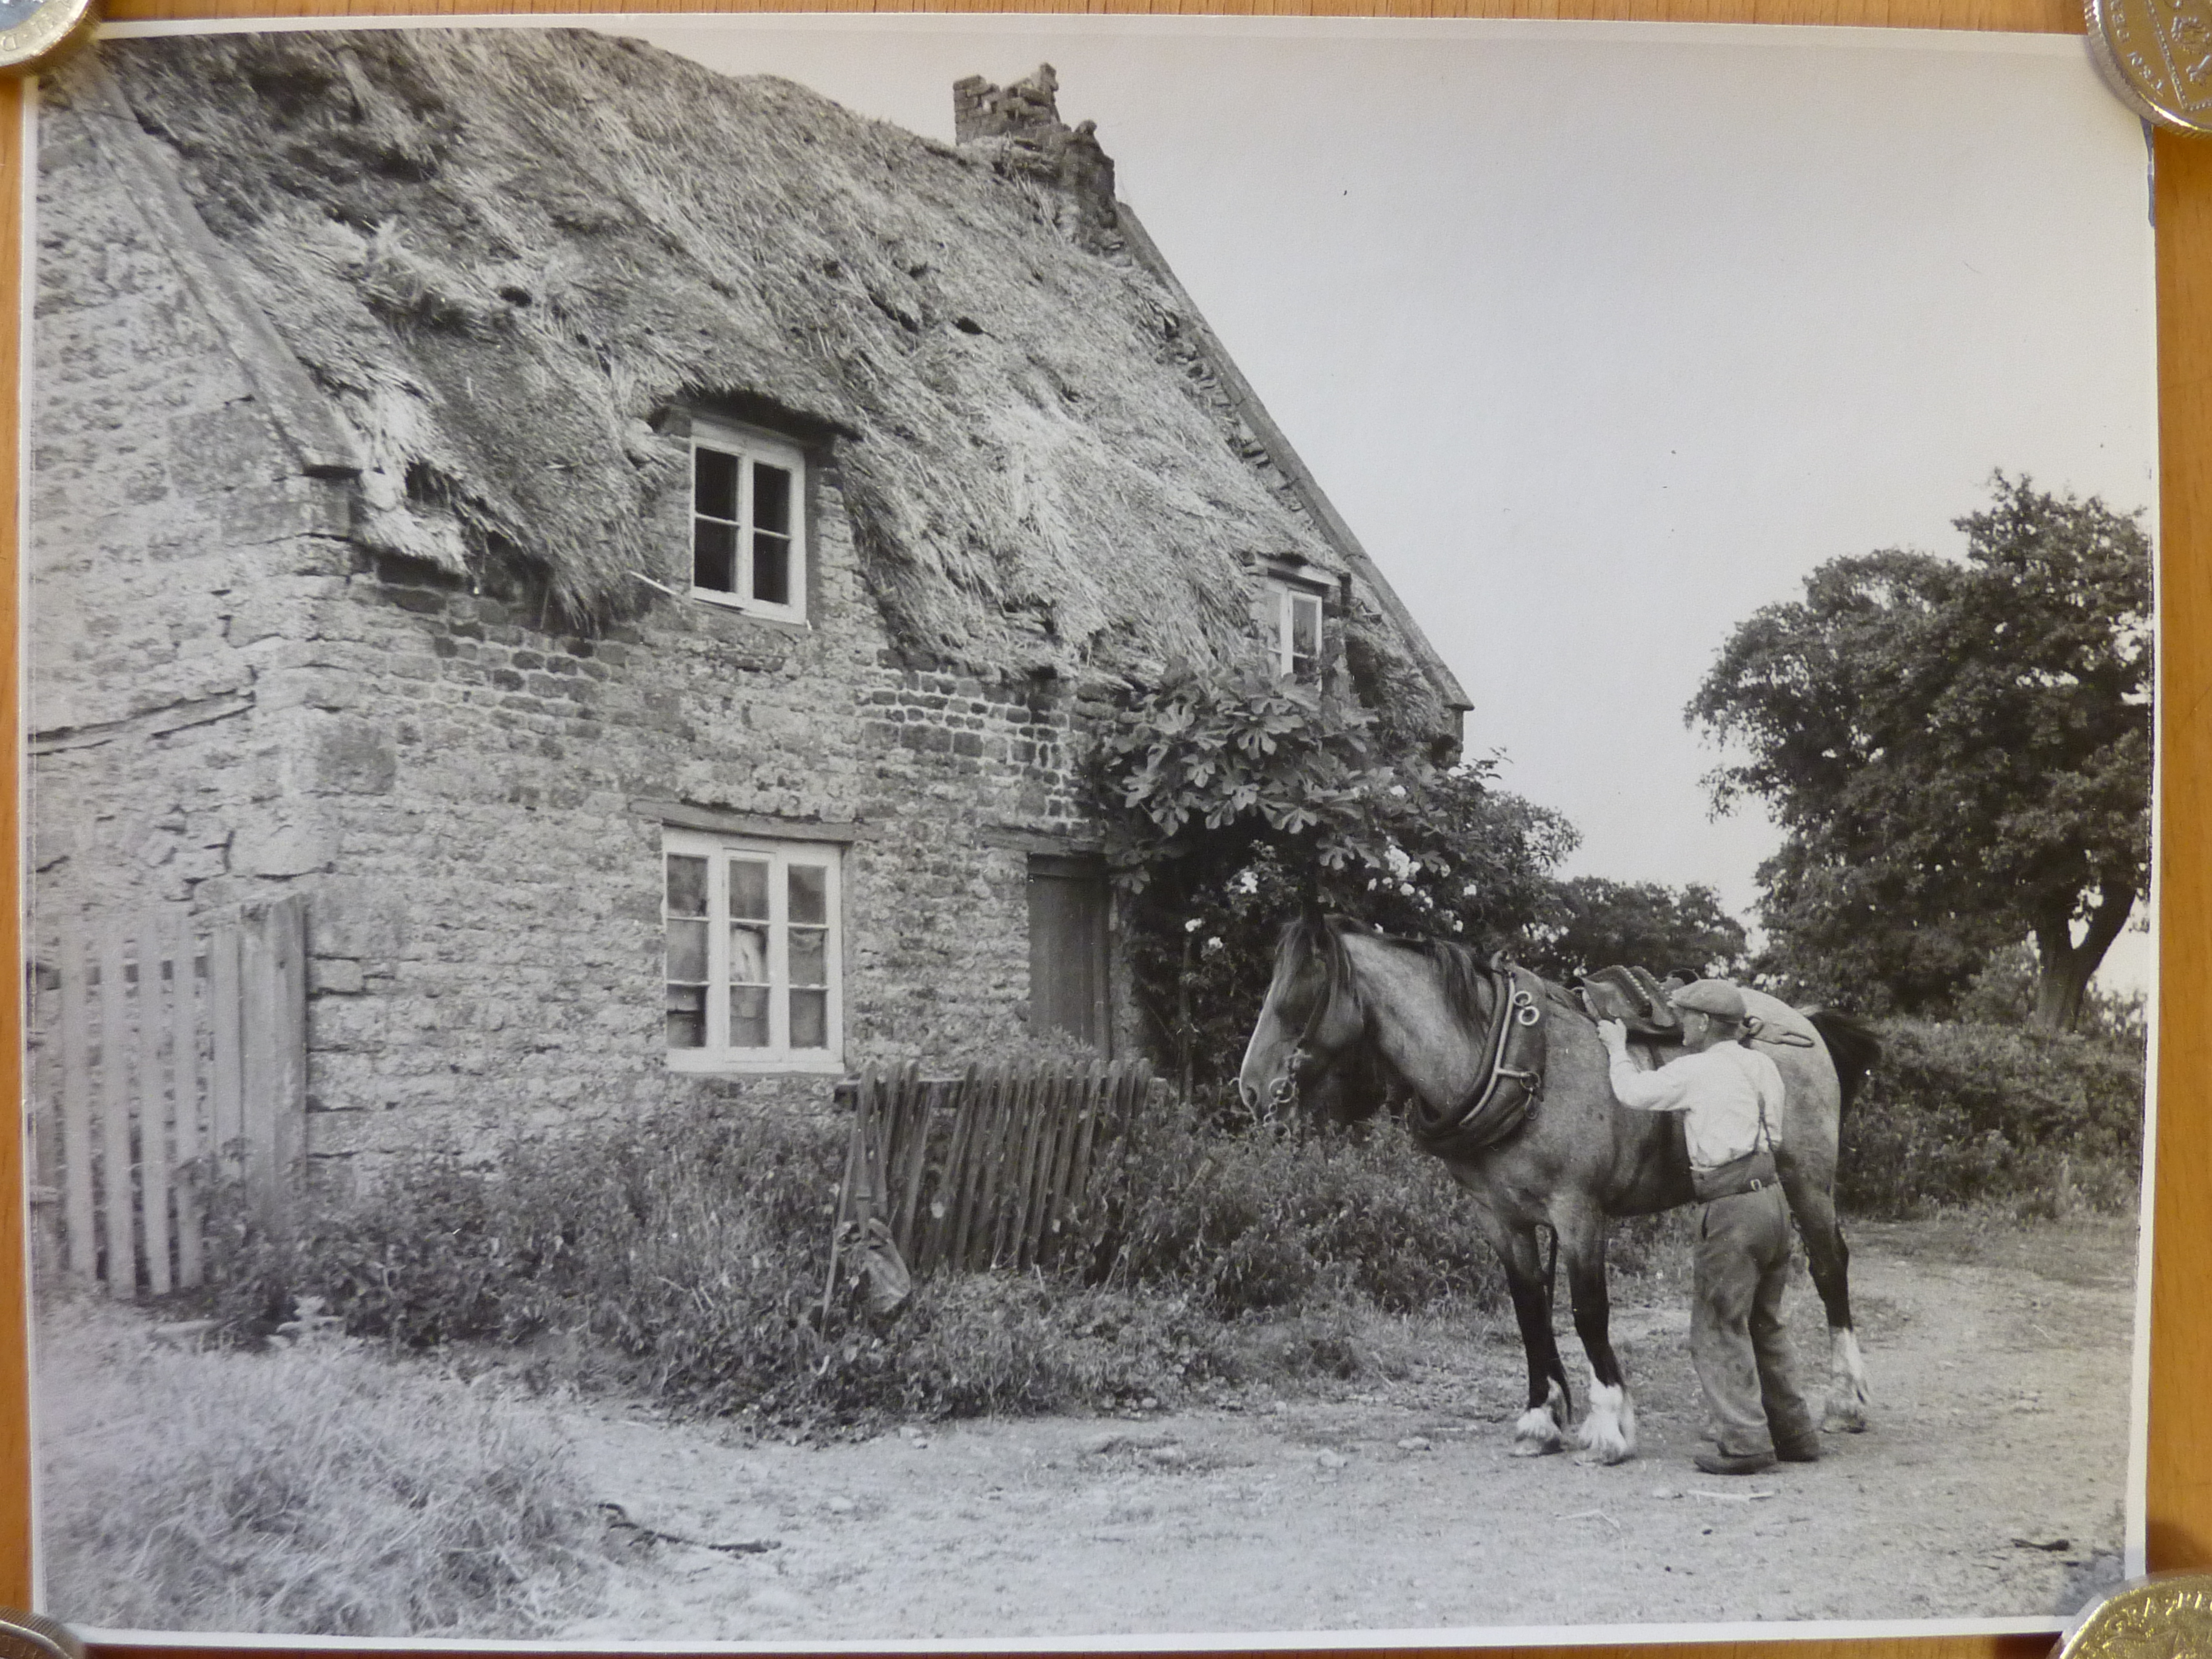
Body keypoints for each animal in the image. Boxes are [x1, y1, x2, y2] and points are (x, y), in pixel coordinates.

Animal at [1238, 916, 1875, 1477]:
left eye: (1299, 995)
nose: (1251, 1091)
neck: (1512, 1058)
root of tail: (1801, 1018)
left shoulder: (1579, 1213)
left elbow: (1588, 1312)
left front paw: (1609, 1428)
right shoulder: (1502, 1220)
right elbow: (1528, 1309)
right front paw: (1540, 1420)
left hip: (1808, 1178)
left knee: (1830, 1267)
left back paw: (1846, 1399)